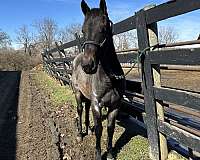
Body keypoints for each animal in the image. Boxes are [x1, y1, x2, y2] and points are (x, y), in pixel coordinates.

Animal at [71, 0, 125, 159]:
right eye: (83, 31)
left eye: (103, 27)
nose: (88, 65)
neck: (110, 79)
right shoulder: (97, 104)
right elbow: (99, 129)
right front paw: (98, 154)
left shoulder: (115, 106)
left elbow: (110, 128)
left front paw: (110, 153)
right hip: (78, 93)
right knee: (80, 110)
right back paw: (80, 134)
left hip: (88, 97)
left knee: (86, 109)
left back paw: (88, 129)